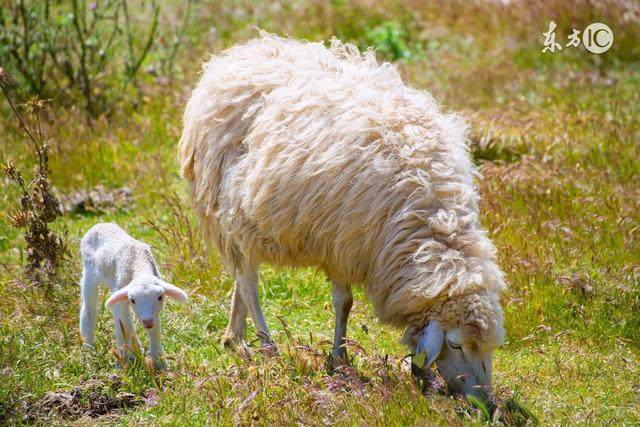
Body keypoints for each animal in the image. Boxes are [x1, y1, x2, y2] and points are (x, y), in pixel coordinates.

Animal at [78, 224, 188, 372]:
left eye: (160, 297)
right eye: (133, 300)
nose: (147, 321)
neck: (137, 260)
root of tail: (99, 225)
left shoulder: (154, 313)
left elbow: (154, 331)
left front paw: (160, 363)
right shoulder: (121, 297)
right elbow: (123, 327)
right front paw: (123, 363)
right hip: (89, 274)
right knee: (89, 310)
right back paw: (88, 351)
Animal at [178, 34, 508, 404]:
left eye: (491, 348)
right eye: (456, 344)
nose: (485, 403)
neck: (431, 218)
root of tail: (241, 51)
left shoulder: (346, 244)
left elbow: (345, 304)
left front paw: (342, 357)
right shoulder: (341, 240)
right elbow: (344, 302)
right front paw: (340, 358)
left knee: (239, 274)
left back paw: (234, 336)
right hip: (235, 208)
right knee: (249, 281)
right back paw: (267, 346)